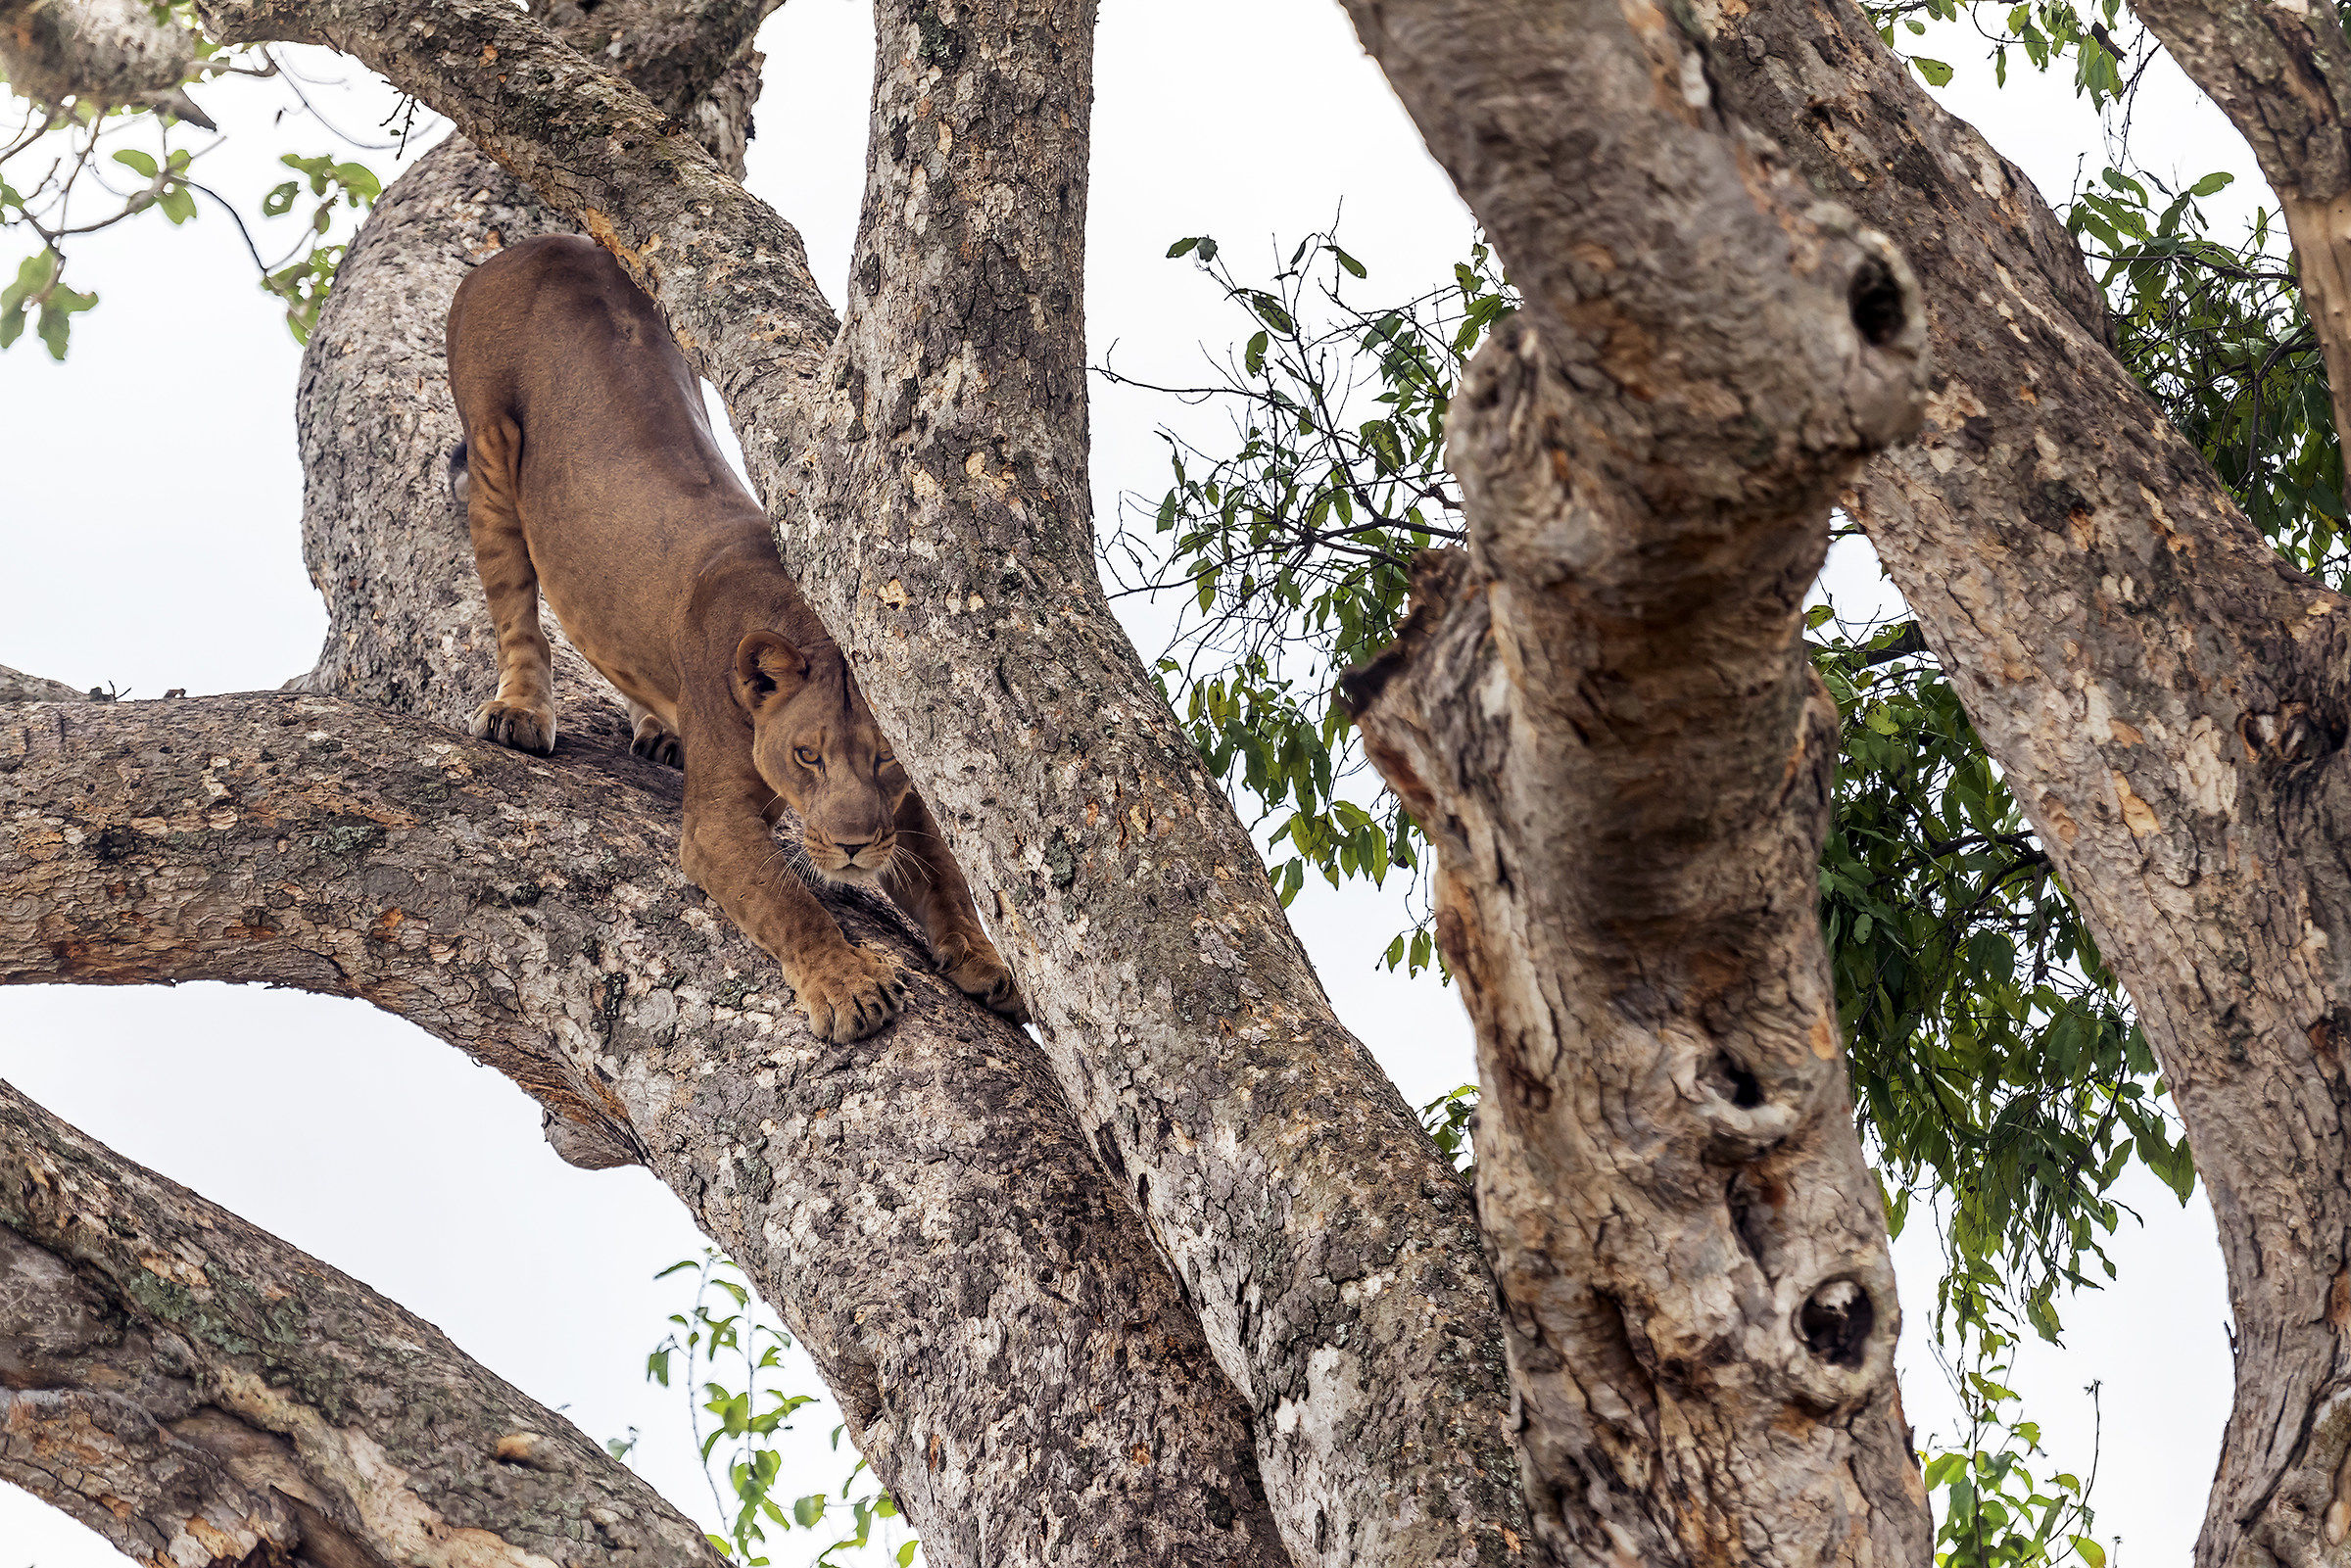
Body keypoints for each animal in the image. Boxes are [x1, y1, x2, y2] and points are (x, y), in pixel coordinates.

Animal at [445, 234, 1024, 1042]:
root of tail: (548, 241)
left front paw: (986, 961)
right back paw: (522, 711)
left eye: (882, 757)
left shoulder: (901, 801)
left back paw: (658, 729)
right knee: (515, 609)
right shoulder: (716, 822)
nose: (853, 847)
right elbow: (790, 899)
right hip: (493, 441)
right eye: (808, 754)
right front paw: (851, 986)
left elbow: (945, 873)